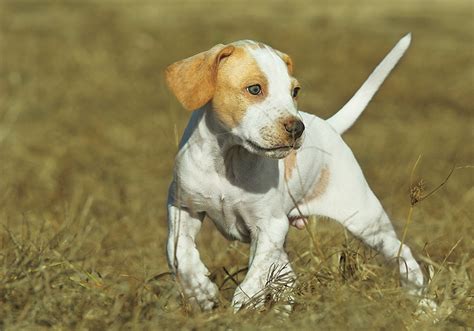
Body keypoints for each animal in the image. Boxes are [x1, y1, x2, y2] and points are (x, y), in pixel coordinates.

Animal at [165, 35, 424, 312]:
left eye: (295, 92)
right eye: (254, 89)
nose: (298, 128)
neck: (228, 160)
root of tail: (329, 126)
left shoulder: (269, 225)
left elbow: (256, 274)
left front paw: (243, 304)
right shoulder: (183, 207)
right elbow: (177, 252)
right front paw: (200, 290)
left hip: (367, 221)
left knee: (404, 255)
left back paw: (424, 305)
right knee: (287, 278)